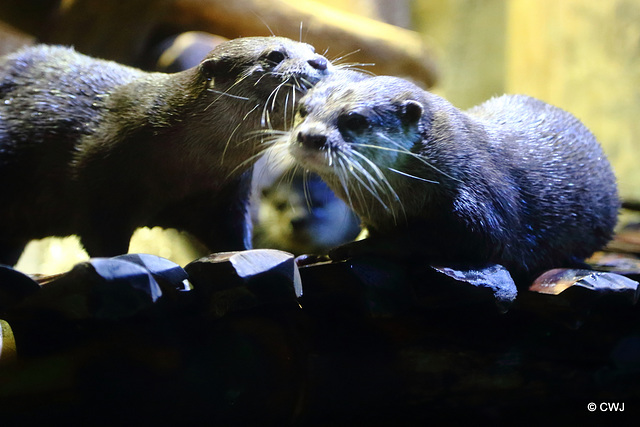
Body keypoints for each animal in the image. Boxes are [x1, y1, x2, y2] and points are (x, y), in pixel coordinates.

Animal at [0, 36, 330, 266]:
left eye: (312, 48)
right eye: (275, 55)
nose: (321, 62)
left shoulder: (227, 195)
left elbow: (234, 235)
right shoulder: (99, 185)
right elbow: (103, 239)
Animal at [290, 73, 620, 280]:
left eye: (354, 119)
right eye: (303, 110)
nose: (309, 136)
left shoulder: (480, 203)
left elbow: (462, 240)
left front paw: (339, 250)